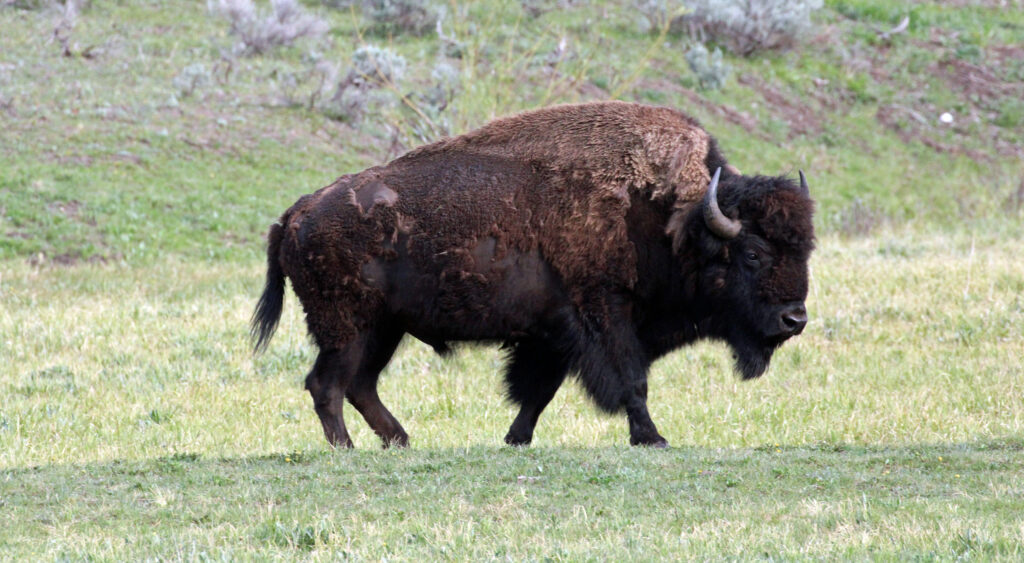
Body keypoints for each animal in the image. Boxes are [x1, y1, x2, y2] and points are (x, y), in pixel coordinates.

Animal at [252, 101, 815, 448]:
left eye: (806, 248)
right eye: (753, 254)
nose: (795, 319)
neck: (674, 217)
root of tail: (297, 213)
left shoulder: (552, 335)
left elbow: (538, 392)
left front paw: (514, 439)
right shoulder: (604, 314)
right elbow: (631, 380)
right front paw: (652, 437)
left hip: (384, 329)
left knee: (359, 384)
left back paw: (402, 441)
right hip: (346, 326)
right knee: (327, 384)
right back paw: (349, 448)